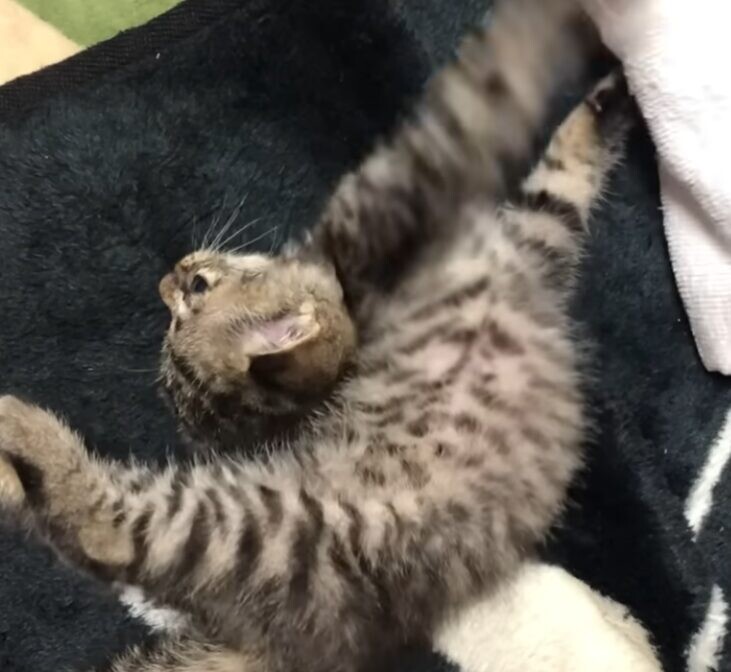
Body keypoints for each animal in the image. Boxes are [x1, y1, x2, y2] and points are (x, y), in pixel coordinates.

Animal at [0, 0, 632, 670]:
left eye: (194, 289)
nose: (164, 277)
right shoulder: (407, 199)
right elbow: (480, 104)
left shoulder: (532, 243)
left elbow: (564, 174)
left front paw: (611, 94)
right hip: (249, 530)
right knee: (108, 531)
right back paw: (20, 422)